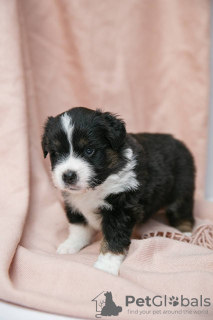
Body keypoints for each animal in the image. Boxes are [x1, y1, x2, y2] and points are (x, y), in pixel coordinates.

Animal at [41, 107, 195, 276]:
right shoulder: (73, 203)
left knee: (183, 213)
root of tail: (179, 142)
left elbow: (113, 239)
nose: (68, 176)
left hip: (182, 189)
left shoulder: (120, 208)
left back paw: (185, 234)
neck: (96, 186)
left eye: (89, 150)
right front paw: (71, 245)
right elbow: (78, 227)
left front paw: (106, 265)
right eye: (55, 153)